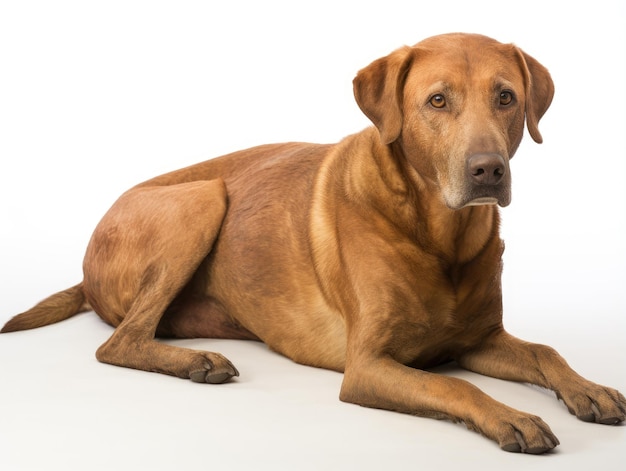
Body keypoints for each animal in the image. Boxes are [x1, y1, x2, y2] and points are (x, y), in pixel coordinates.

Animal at [2, 32, 620, 454]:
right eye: (438, 101)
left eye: (507, 97)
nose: (488, 170)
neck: (440, 236)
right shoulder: (368, 366)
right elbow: (456, 389)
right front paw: (511, 416)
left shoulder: (478, 340)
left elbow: (545, 352)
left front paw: (587, 388)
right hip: (203, 198)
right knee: (118, 344)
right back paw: (198, 362)